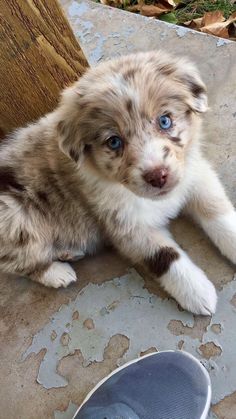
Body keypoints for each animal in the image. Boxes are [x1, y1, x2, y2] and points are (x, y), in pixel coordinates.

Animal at [0, 51, 236, 316]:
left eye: (165, 121)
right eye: (114, 142)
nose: (158, 176)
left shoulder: (195, 175)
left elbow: (218, 212)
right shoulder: (126, 226)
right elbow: (164, 255)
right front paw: (197, 292)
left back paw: (67, 251)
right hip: (13, 216)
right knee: (17, 262)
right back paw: (57, 272)